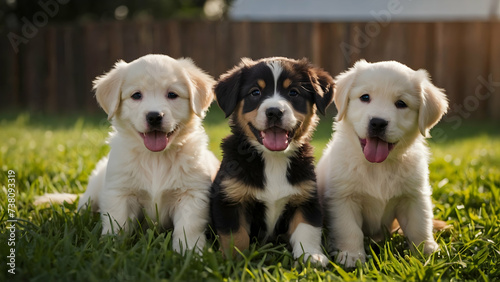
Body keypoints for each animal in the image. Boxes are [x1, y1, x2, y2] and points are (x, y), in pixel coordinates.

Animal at [78, 54, 219, 253]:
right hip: (94, 190)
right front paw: (111, 248)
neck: (155, 158)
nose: (154, 116)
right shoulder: (120, 193)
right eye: (136, 95)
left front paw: (190, 252)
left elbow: (188, 227)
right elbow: (117, 223)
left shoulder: (191, 194)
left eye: (172, 94)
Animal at [209, 57, 334, 266]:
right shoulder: (230, 198)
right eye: (255, 92)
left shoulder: (306, 198)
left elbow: (308, 229)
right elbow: (236, 235)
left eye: (293, 92)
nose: (274, 112)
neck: (273, 159)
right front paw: (235, 261)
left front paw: (311, 256)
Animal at [316, 60, 450, 268]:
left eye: (401, 103)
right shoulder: (342, 199)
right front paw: (351, 255)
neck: (379, 166)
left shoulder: (414, 196)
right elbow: (350, 230)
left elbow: (419, 226)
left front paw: (426, 252)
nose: (378, 123)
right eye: (365, 97)